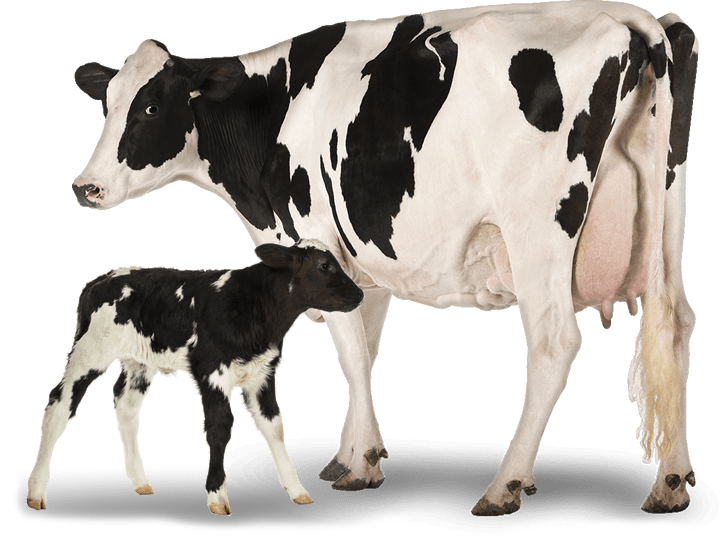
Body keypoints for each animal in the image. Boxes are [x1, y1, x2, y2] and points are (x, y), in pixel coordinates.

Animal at [26, 240, 364, 516]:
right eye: (324, 265)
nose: (360, 294)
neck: (254, 309)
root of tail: (103, 278)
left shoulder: (263, 374)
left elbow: (274, 426)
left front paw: (297, 491)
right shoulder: (211, 371)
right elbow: (220, 427)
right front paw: (216, 497)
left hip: (139, 362)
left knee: (125, 405)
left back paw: (140, 482)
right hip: (89, 352)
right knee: (59, 404)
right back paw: (36, 491)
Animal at [68, 0, 699, 516]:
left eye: (152, 107)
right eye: (107, 104)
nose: (86, 187)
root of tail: (630, 18)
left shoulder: (321, 243)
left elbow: (349, 353)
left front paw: (363, 463)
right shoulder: (361, 268)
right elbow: (365, 352)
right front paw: (348, 456)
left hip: (536, 228)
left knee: (554, 342)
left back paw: (505, 486)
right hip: (668, 214)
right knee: (674, 326)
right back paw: (672, 483)